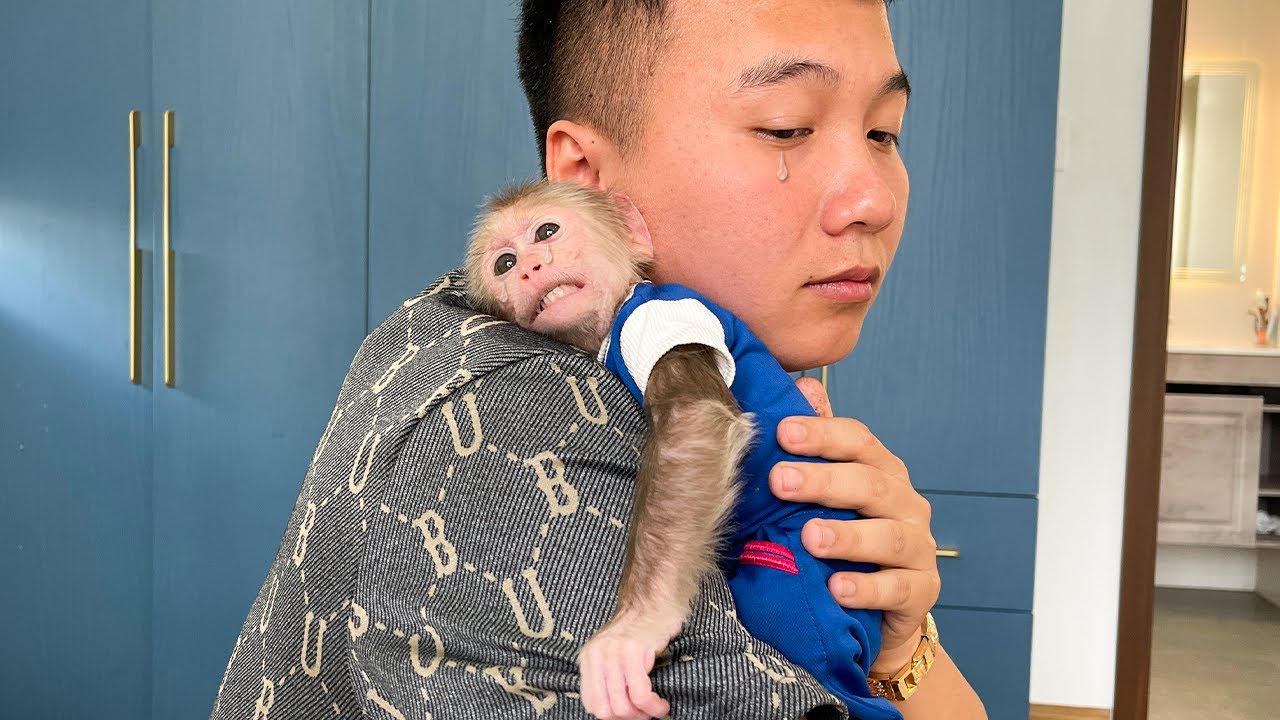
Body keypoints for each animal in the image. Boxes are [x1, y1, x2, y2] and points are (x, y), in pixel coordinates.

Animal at [465, 180, 897, 720]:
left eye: (547, 231)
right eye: (503, 263)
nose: (528, 268)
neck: (613, 315)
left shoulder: (659, 314)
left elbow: (696, 419)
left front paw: (639, 624)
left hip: (799, 574)